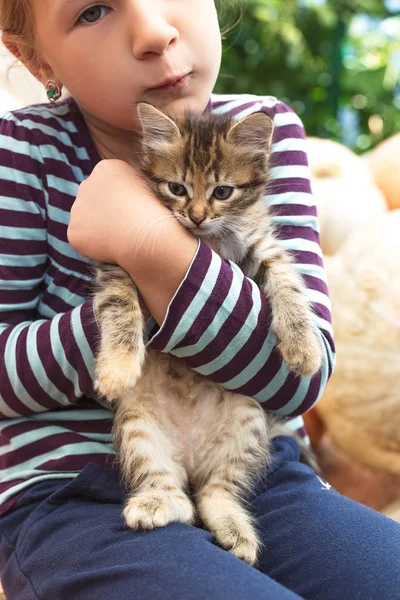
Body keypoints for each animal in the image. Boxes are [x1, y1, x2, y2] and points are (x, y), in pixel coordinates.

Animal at [92, 101, 324, 564]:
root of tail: (191, 457)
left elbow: (288, 283)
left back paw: (236, 531)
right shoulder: (117, 263)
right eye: (177, 188)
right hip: (138, 426)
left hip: (247, 423)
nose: (196, 217)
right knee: (179, 495)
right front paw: (117, 369)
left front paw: (304, 347)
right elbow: (119, 305)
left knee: (215, 493)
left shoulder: (263, 247)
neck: (210, 240)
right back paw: (154, 504)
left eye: (223, 192)